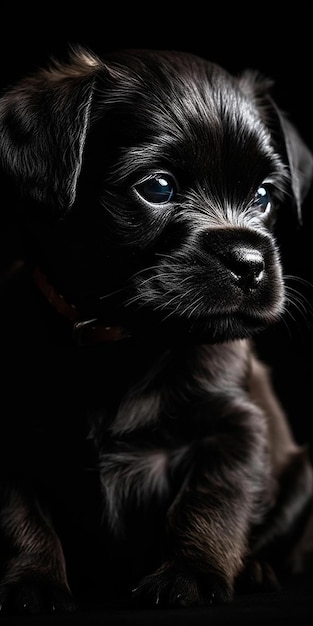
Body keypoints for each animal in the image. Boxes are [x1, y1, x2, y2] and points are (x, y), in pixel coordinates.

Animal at [0, 46, 312, 612]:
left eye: (263, 196)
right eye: (157, 187)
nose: (250, 263)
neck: (128, 342)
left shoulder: (234, 429)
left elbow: (210, 503)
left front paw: (190, 574)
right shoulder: (12, 434)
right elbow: (20, 516)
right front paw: (33, 580)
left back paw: (255, 570)